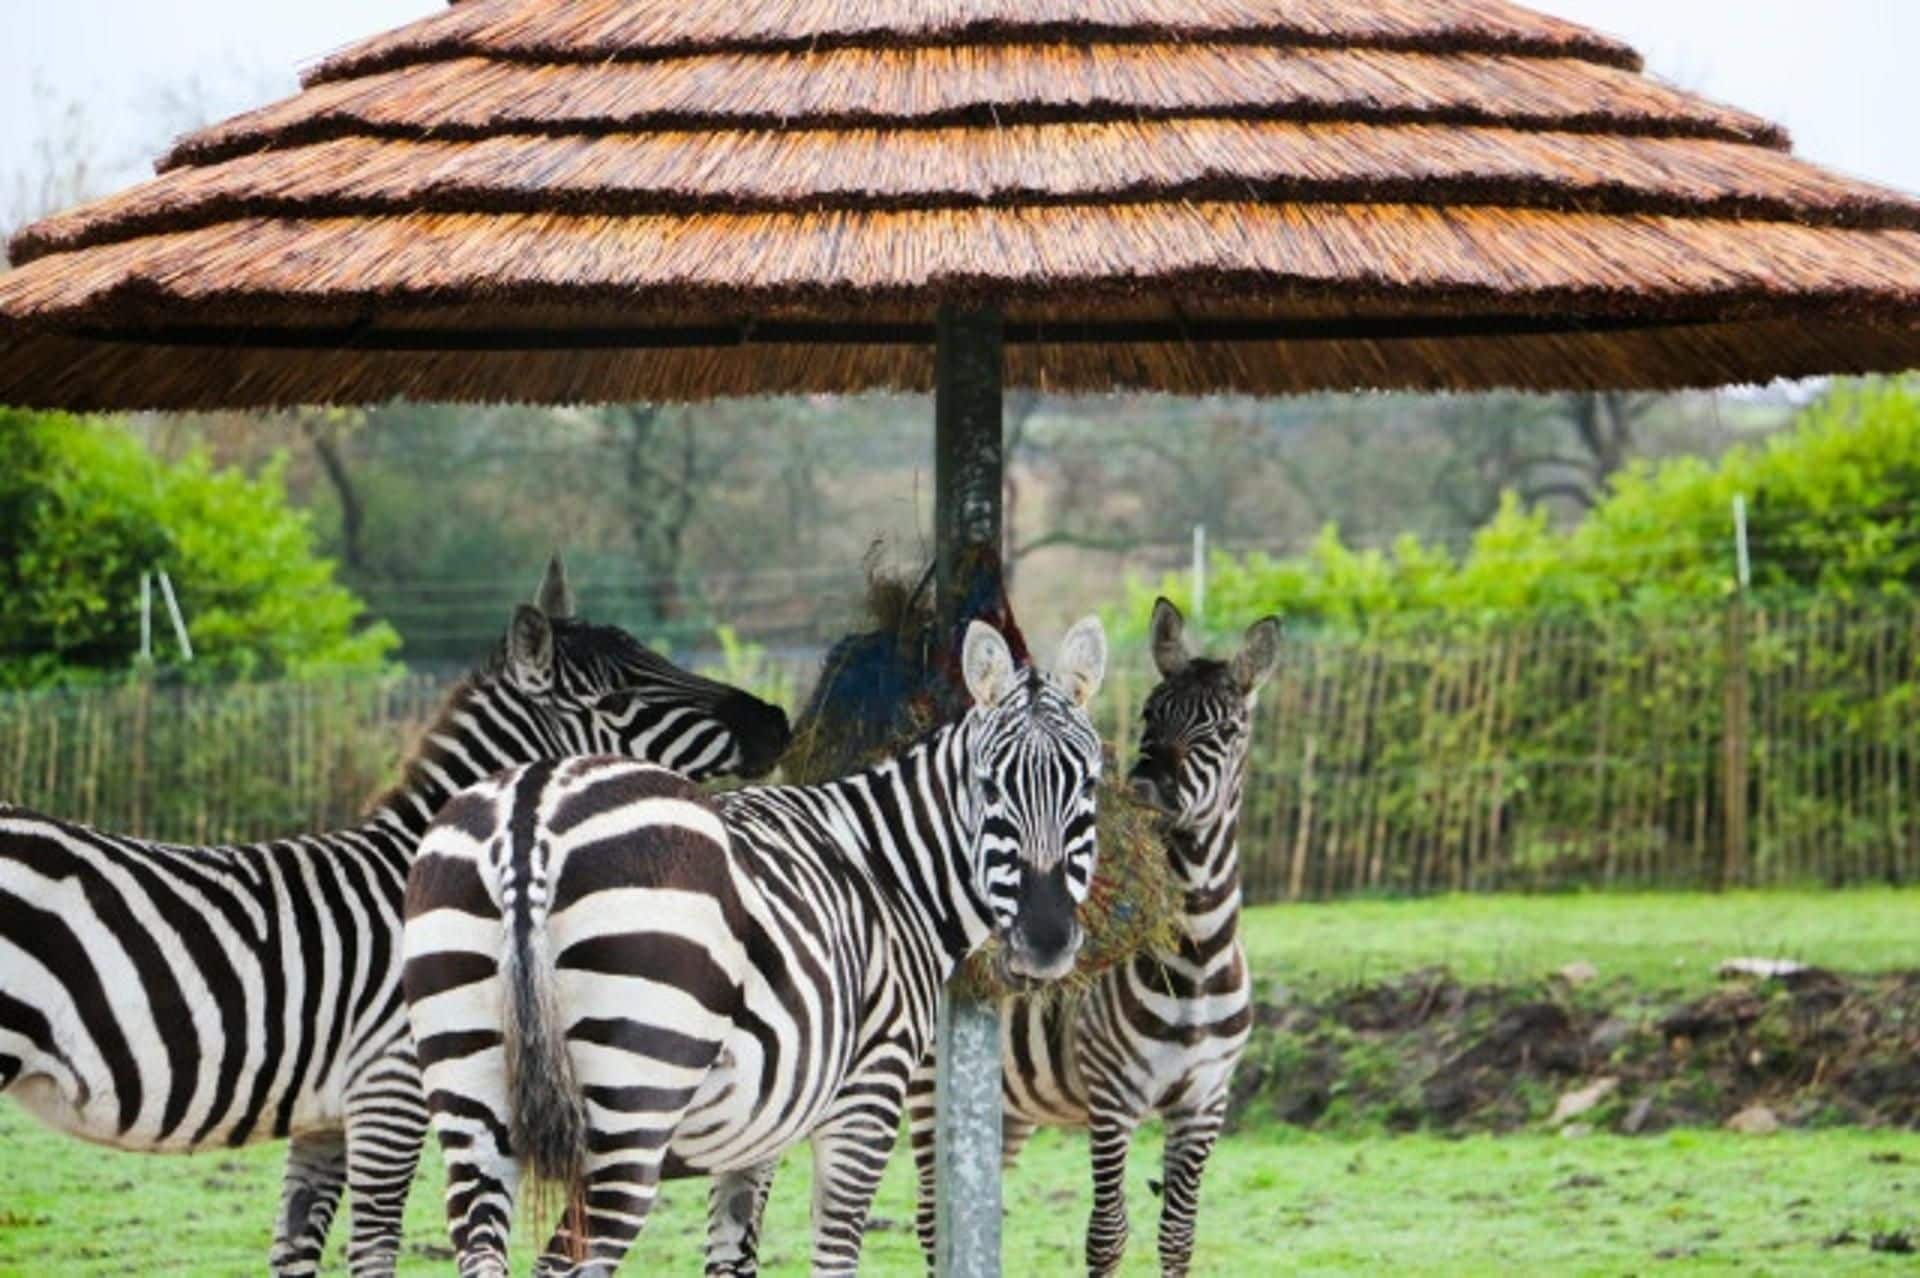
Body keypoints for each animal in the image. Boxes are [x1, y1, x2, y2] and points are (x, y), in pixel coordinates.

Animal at [0, 556, 790, 1278]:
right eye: (623, 691)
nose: (778, 721)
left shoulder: (324, 1118)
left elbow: (295, 1248)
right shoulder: (393, 1090)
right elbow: (374, 1251)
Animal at [402, 616, 1109, 1277]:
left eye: (1089, 788)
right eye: (990, 788)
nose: (1046, 941)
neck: (889, 870)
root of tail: (532, 809)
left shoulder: (757, 1127)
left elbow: (731, 1258)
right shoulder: (867, 1094)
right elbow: (835, 1254)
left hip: (472, 1107)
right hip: (633, 1109)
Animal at [898, 597, 1280, 1276]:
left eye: (1227, 731)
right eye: (1152, 714)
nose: (1147, 789)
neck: (1198, 959)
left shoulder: (1204, 1104)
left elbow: (1178, 1234)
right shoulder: (1112, 1097)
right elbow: (1107, 1232)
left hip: (1005, 1106)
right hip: (927, 1089)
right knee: (930, 1222)